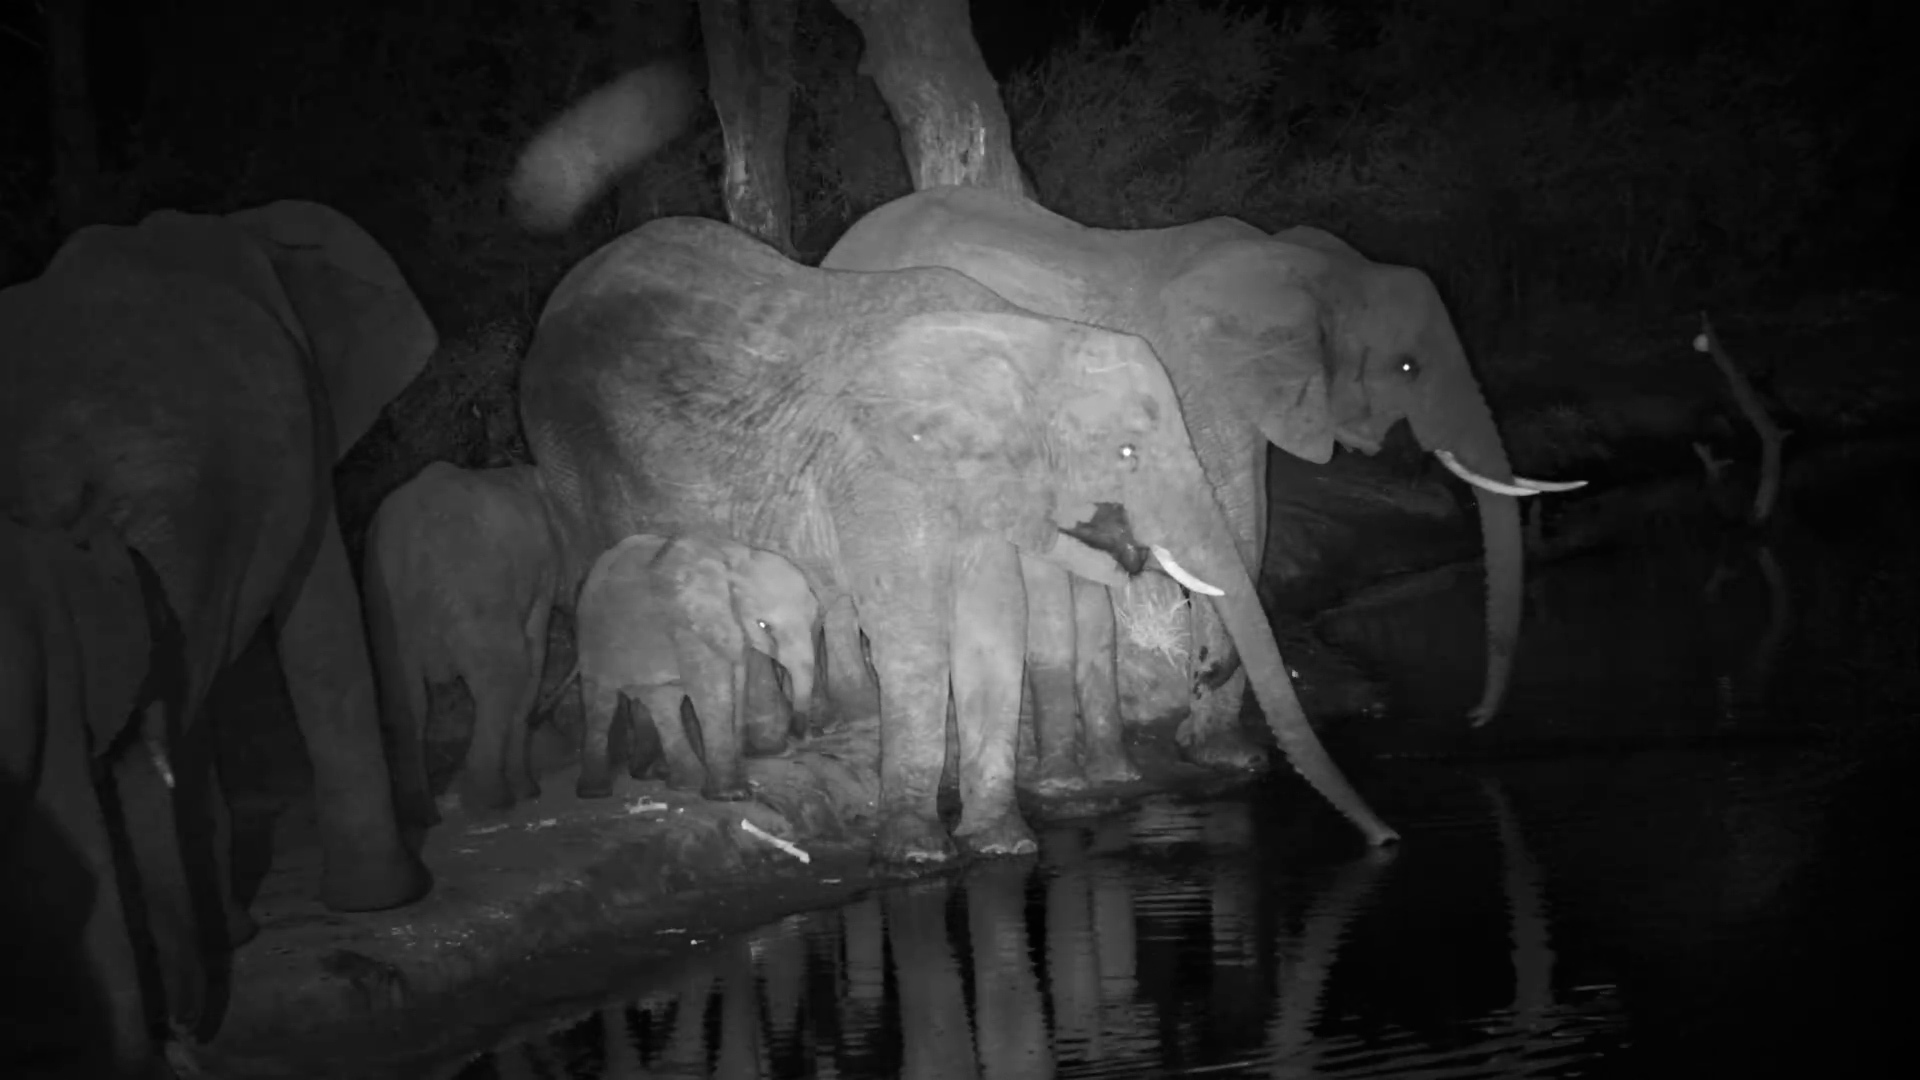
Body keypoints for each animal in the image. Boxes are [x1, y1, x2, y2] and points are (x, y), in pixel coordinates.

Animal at [362, 461, 572, 837]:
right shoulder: (543, 570)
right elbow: (535, 653)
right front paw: (530, 791)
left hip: (382, 601)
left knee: (404, 700)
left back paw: (424, 816)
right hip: (473, 584)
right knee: (507, 669)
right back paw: (493, 800)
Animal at [565, 532, 820, 801]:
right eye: (763, 626)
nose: (798, 736)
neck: (734, 557)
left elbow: (736, 685)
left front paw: (737, 785)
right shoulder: (687, 622)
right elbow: (713, 692)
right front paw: (731, 795)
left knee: (661, 700)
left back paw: (680, 782)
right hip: (592, 639)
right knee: (600, 703)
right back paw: (595, 791)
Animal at [822, 185, 1584, 775]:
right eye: (1407, 368)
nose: (1476, 720)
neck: (1307, 266)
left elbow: (1249, 517)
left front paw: (1222, 749)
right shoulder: (1200, 384)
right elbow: (1240, 521)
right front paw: (1217, 742)